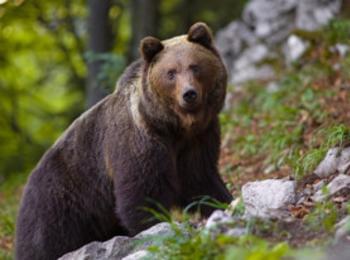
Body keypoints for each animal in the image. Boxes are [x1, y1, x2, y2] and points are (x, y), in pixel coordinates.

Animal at [15, 22, 232, 260]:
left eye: (195, 66)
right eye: (171, 73)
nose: (189, 94)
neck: (173, 127)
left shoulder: (198, 140)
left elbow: (200, 180)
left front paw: (223, 203)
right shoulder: (139, 142)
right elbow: (142, 193)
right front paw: (156, 228)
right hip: (59, 201)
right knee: (45, 242)